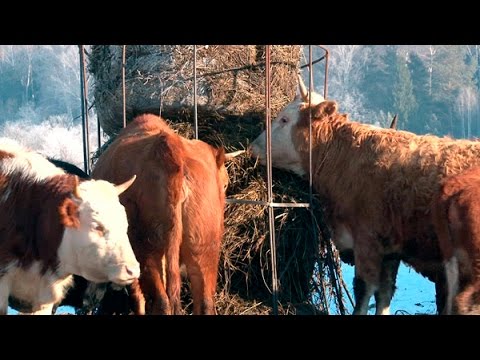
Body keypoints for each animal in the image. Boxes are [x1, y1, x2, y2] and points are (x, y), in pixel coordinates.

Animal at [90, 114, 244, 314]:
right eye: (224, 184)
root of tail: (170, 148)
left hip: (145, 245)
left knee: (161, 300)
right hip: (203, 244)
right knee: (205, 301)